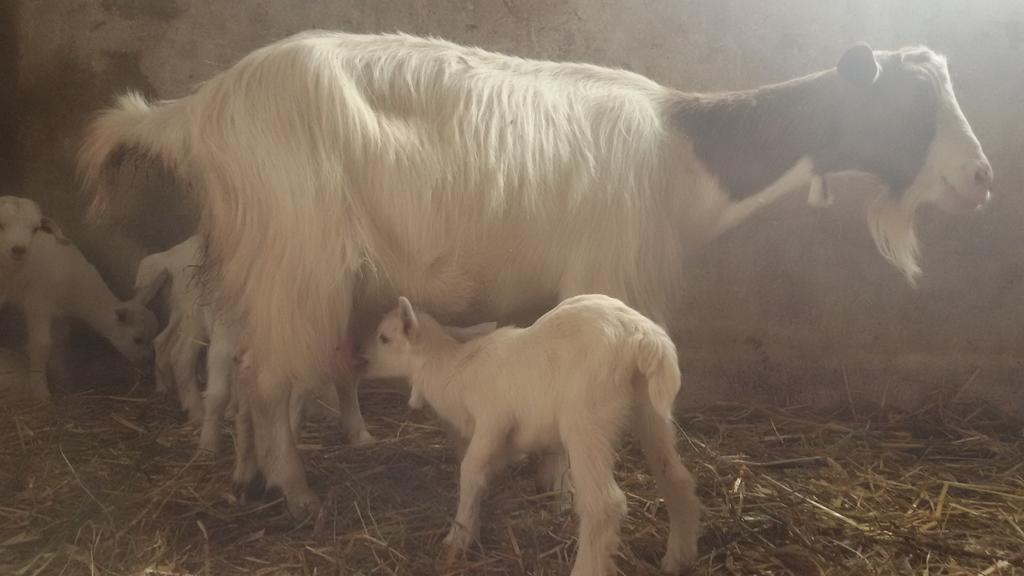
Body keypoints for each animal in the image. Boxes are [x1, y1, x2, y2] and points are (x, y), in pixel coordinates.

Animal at [0, 201, 163, 399]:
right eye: (137, 339)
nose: (148, 366)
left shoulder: (60, 315)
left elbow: (61, 343)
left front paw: (63, 379)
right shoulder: (38, 304)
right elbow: (42, 345)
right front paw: (40, 391)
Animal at [79, 31, 991, 516]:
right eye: (909, 106)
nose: (982, 180)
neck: (685, 155)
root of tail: (199, 108)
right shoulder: (604, 276)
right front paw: (560, 485)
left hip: (258, 265)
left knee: (241, 370)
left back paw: (247, 476)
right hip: (297, 264)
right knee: (269, 382)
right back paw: (298, 493)